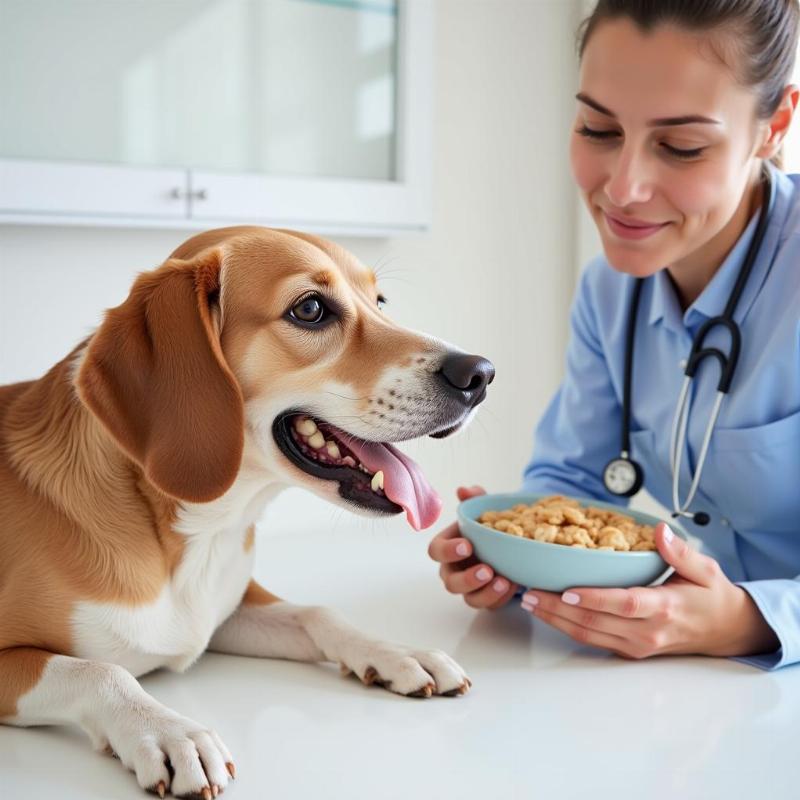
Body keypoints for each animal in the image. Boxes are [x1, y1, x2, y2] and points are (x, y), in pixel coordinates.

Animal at [0, 227, 494, 800]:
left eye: (380, 302)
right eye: (310, 309)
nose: (481, 373)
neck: (197, 534)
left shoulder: (226, 610)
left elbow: (317, 613)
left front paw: (396, 652)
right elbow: (101, 671)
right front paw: (170, 732)